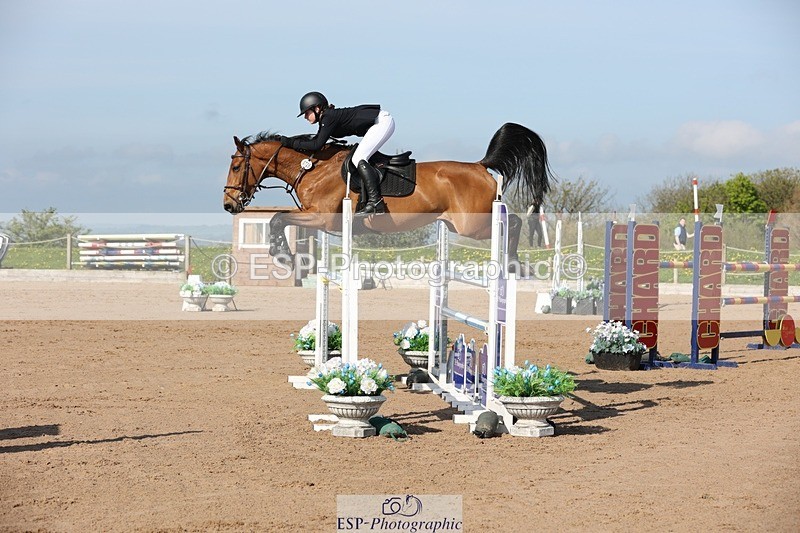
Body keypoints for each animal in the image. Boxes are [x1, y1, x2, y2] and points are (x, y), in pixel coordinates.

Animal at [222, 122, 552, 267]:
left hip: (473, 225)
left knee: (515, 223)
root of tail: (480, 166)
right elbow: (279, 219)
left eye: (237, 166)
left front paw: (283, 255)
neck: (313, 168)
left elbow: (278, 219)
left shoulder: (322, 219)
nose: (228, 204)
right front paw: (283, 254)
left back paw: (514, 262)